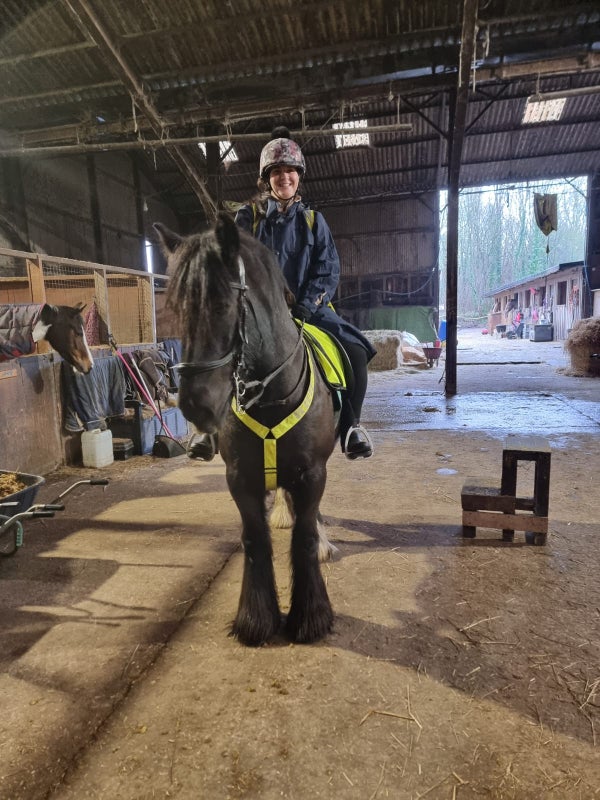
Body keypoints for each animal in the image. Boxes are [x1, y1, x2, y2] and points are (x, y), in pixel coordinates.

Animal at [155, 213, 339, 646]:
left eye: (223, 304)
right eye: (177, 310)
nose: (196, 405)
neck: (272, 395)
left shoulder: (313, 473)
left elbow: (304, 538)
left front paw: (310, 617)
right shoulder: (240, 477)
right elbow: (256, 539)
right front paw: (256, 619)